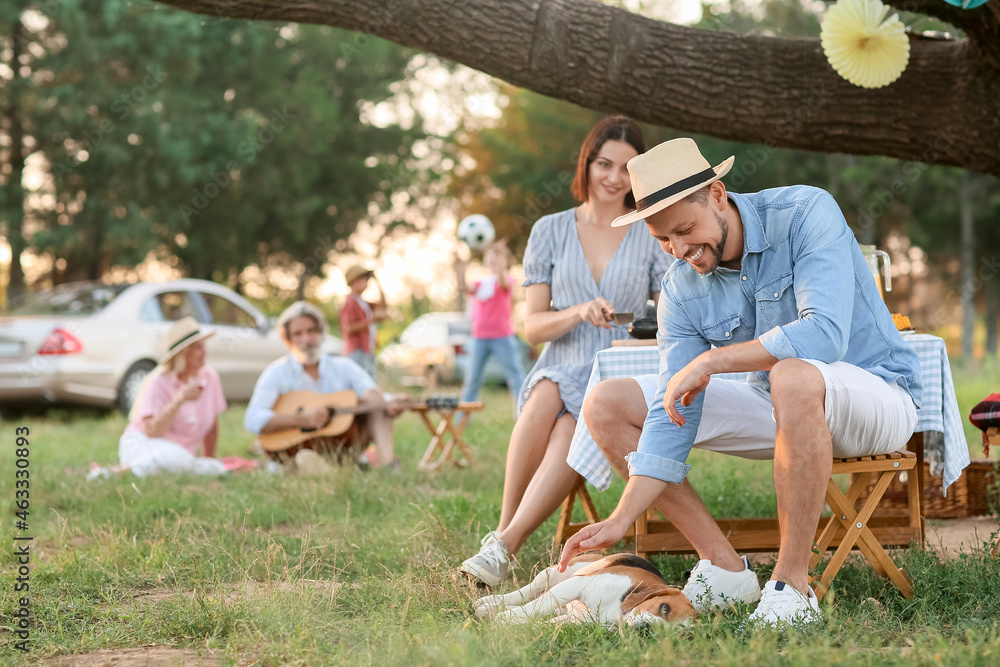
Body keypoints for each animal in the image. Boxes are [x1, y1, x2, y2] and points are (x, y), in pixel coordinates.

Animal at [470, 552, 696, 628]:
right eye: (665, 607)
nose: (646, 630)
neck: (617, 612)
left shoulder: (577, 621)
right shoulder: (577, 585)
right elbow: (536, 607)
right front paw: (506, 618)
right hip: (556, 573)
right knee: (527, 593)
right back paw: (490, 603)